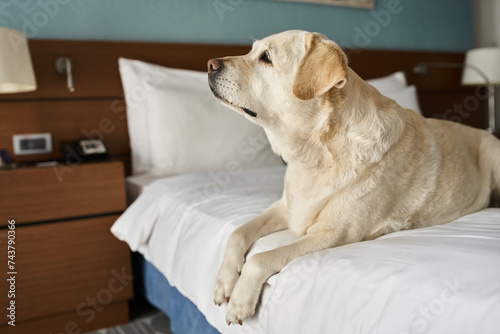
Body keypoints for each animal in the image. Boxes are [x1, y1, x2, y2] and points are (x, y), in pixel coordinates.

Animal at [206, 30, 500, 324]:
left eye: (266, 57)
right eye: (251, 51)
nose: (210, 64)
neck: (316, 155)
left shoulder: (335, 234)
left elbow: (260, 258)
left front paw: (240, 301)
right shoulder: (286, 208)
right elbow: (237, 232)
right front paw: (223, 283)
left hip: (492, 152)